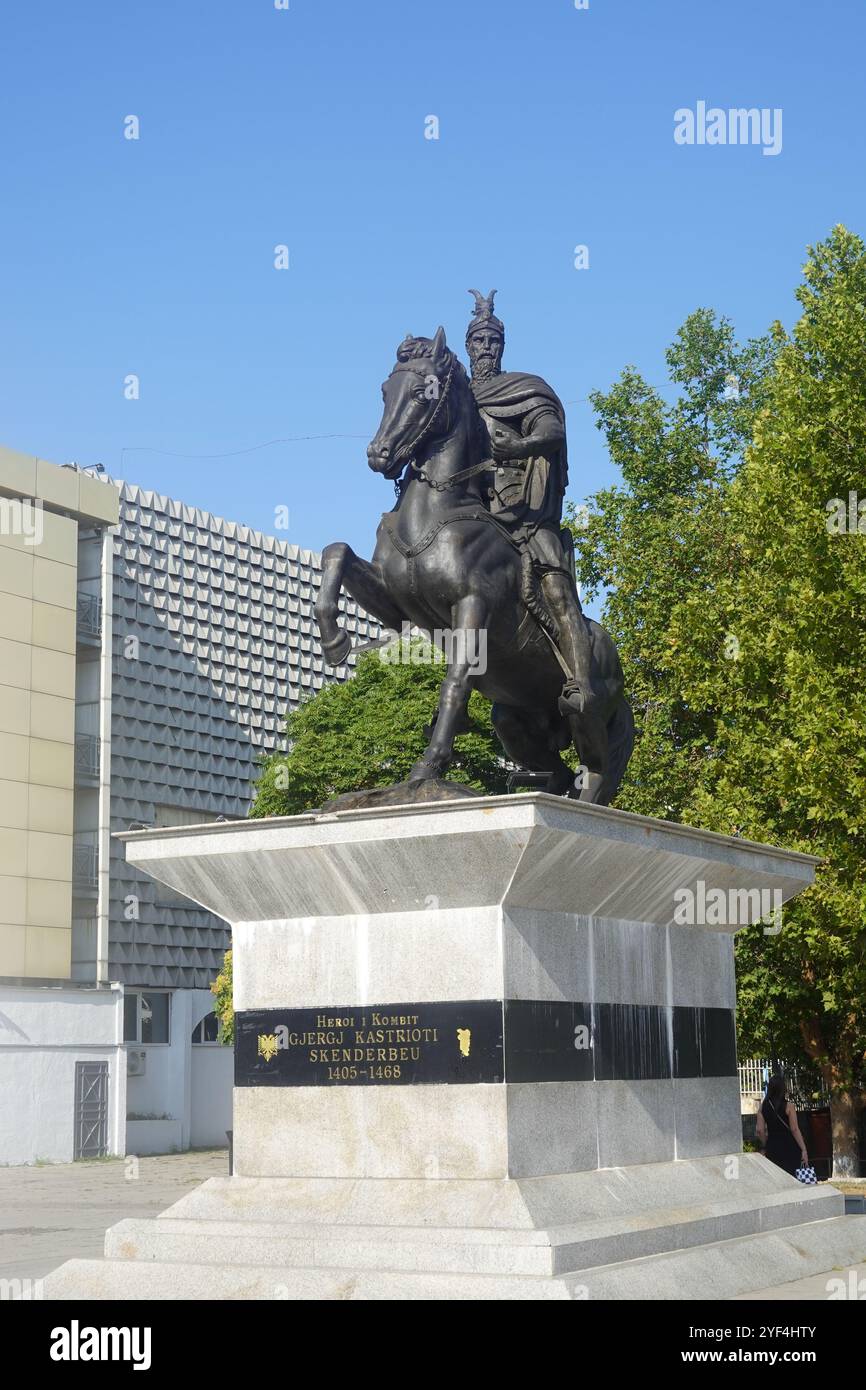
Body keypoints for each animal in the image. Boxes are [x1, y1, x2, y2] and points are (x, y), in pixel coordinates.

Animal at [315, 328, 633, 806]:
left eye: (422, 393)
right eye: (386, 391)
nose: (379, 454)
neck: (437, 512)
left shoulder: (472, 605)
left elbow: (456, 682)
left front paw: (426, 769)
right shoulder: (396, 605)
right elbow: (336, 552)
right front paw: (334, 640)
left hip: (586, 715)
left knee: (592, 774)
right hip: (516, 721)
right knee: (556, 771)